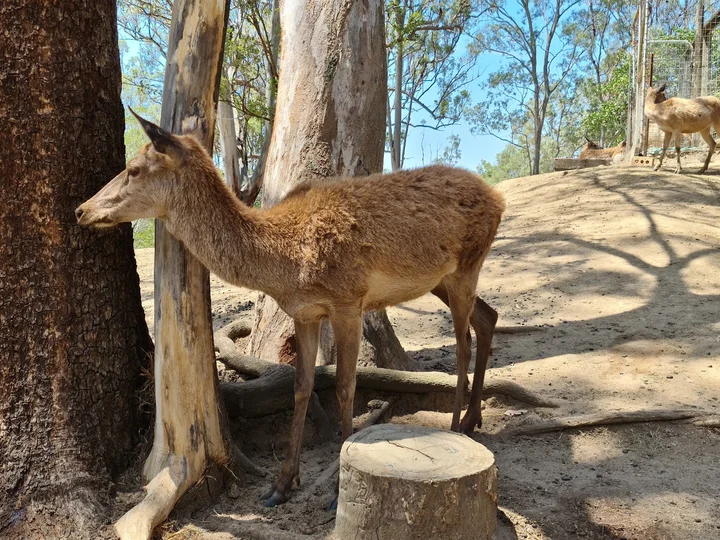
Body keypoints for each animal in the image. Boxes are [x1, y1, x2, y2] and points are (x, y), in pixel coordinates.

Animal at [76, 110, 506, 508]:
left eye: (133, 169)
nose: (82, 209)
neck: (283, 263)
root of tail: (499, 199)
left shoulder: (349, 300)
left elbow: (346, 387)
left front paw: (336, 489)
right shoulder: (305, 312)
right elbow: (302, 386)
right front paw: (281, 485)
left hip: (466, 267)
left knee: (463, 343)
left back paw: (456, 426)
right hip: (440, 281)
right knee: (488, 318)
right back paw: (472, 419)